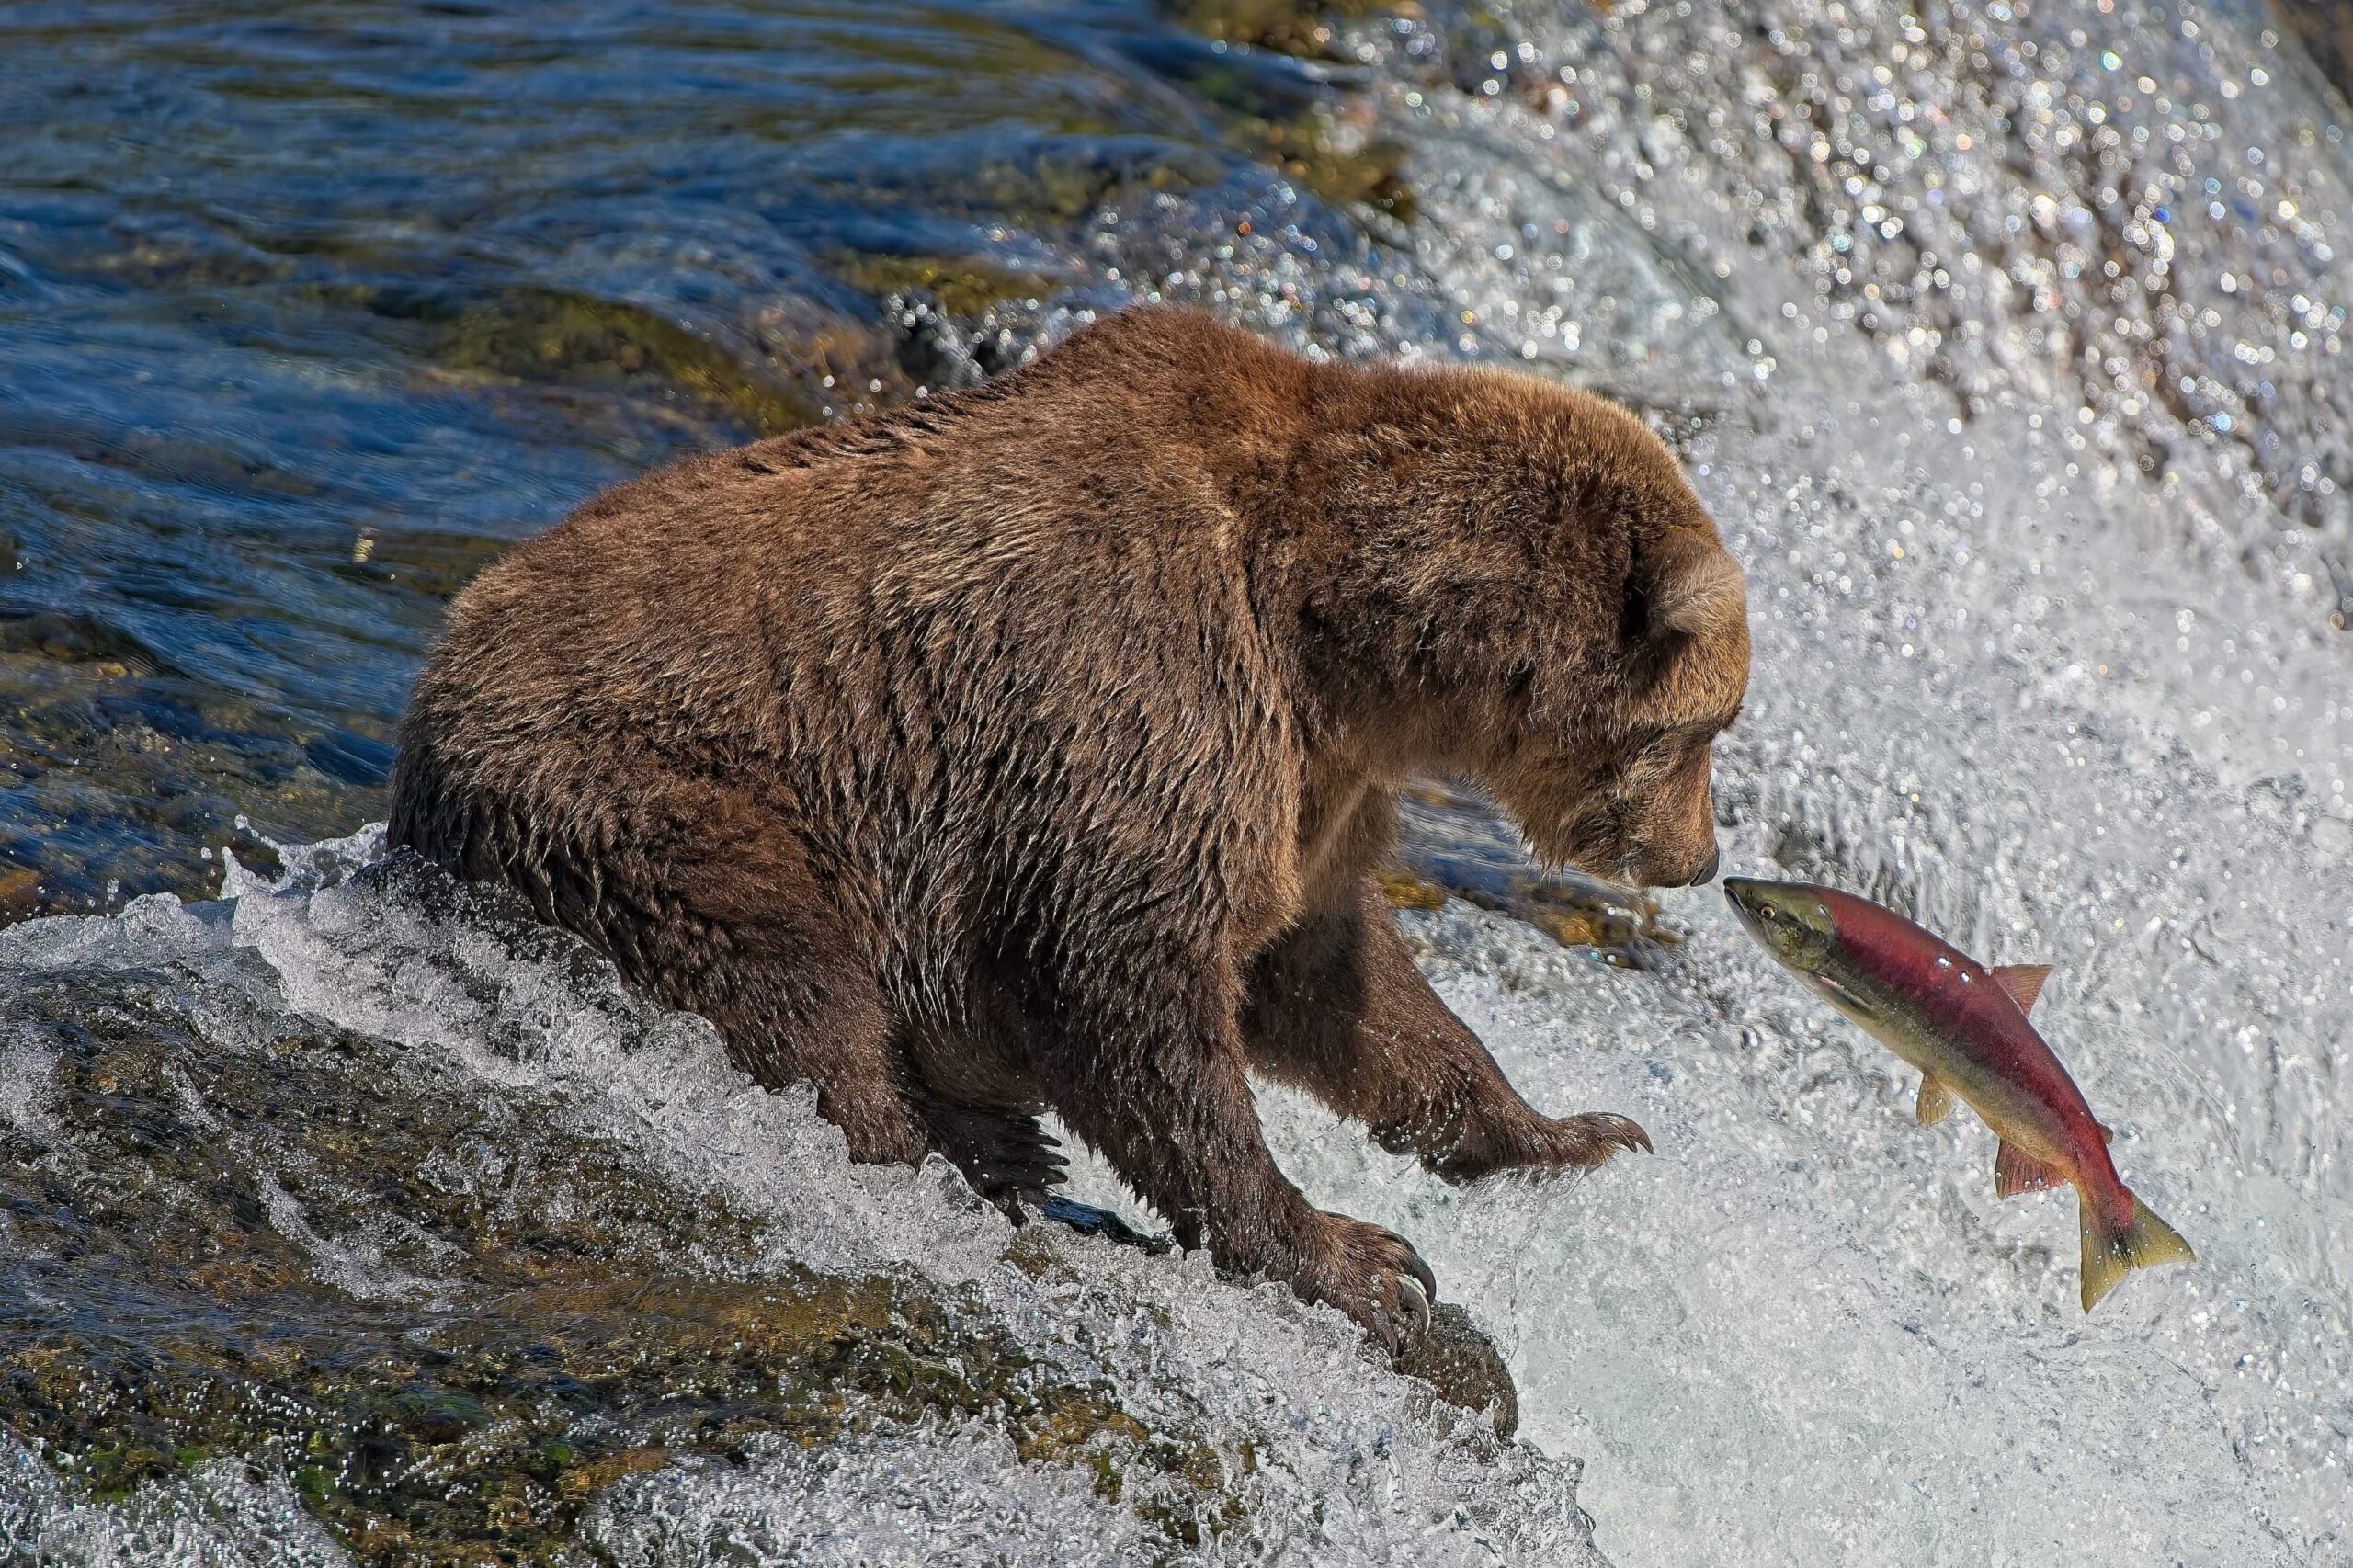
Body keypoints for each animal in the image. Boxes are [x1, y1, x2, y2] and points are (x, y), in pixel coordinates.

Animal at [390, 307, 1749, 1345]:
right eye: (1713, 727)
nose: (1701, 859)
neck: (1340, 635)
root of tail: (431, 688)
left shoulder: (1307, 784)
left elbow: (1337, 982)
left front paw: (1568, 1133)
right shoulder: (1133, 686)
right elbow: (1125, 986)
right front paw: (1360, 1257)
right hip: (661, 793)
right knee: (788, 978)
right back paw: (943, 1152)